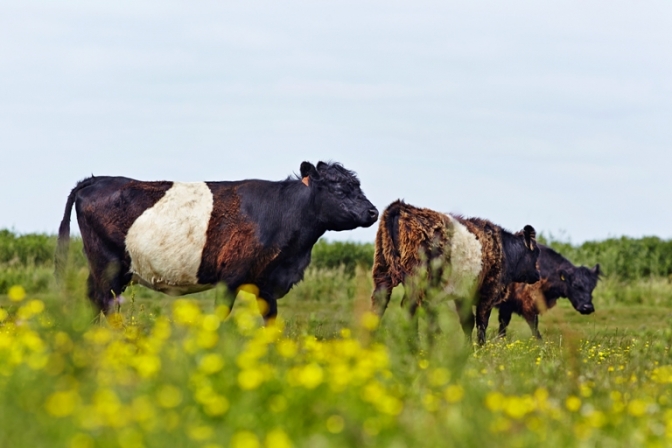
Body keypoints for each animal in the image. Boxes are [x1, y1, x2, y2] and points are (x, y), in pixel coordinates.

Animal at [57, 161, 378, 322]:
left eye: (357, 185)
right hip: (108, 267)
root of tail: (96, 179)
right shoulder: (230, 279)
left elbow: (271, 324)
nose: (373, 212)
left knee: (92, 302)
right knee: (106, 304)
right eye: (338, 189)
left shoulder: (267, 284)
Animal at [370, 200, 540, 346]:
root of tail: (401, 206)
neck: (504, 250)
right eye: (535, 253)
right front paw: (480, 348)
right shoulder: (489, 293)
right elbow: (481, 323)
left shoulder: (463, 294)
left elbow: (468, 322)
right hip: (417, 279)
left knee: (379, 302)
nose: (538, 275)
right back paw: (414, 346)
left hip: (382, 272)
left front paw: (467, 349)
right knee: (409, 307)